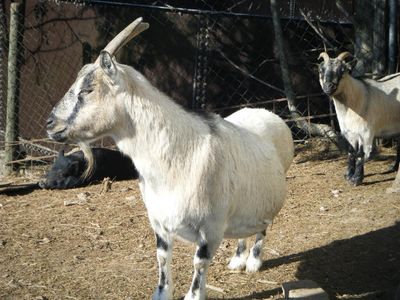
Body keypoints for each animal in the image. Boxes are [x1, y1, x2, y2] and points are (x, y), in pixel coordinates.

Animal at [46, 18, 294, 298]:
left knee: (263, 226)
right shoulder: (159, 221)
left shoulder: (211, 226)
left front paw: (195, 293)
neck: (177, 158)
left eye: (87, 90)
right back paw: (238, 260)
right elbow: (162, 258)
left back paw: (252, 261)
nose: (50, 124)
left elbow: (199, 263)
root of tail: (268, 113)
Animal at [320, 52, 400, 185]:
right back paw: (393, 167)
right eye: (321, 70)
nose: (328, 87)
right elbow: (351, 152)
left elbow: (360, 154)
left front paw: (356, 179)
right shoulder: (348, 132)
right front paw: (348, 175)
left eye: (342, 70)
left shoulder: (365, 132)